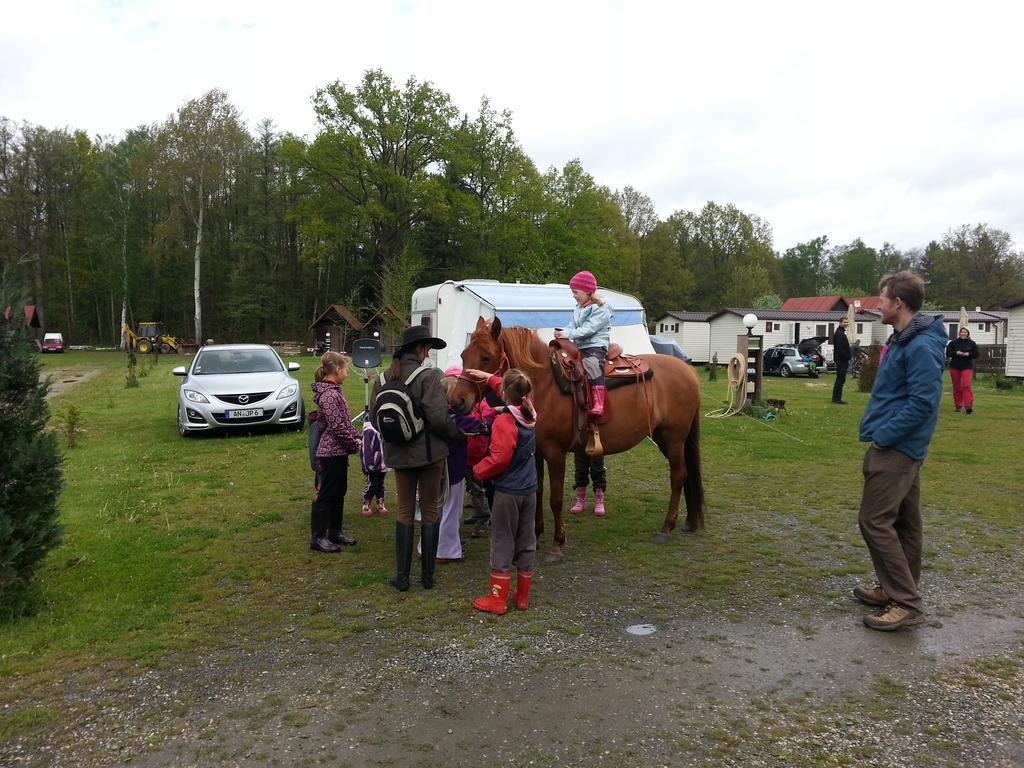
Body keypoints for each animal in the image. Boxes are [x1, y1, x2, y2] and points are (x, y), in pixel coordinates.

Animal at [454, 315, 704, 561]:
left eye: (486, 357)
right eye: (464, 355)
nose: (458, 401)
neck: (545, 384)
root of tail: (688, 371)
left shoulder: (555, 453)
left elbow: (555, 500)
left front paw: (557, 544)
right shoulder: (535, 453)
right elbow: (537, 492)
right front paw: (536, 535)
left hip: (674, 438)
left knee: (678, 476)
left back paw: (666, 528)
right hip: (664, 438)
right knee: (686, 475)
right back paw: (689, 521)